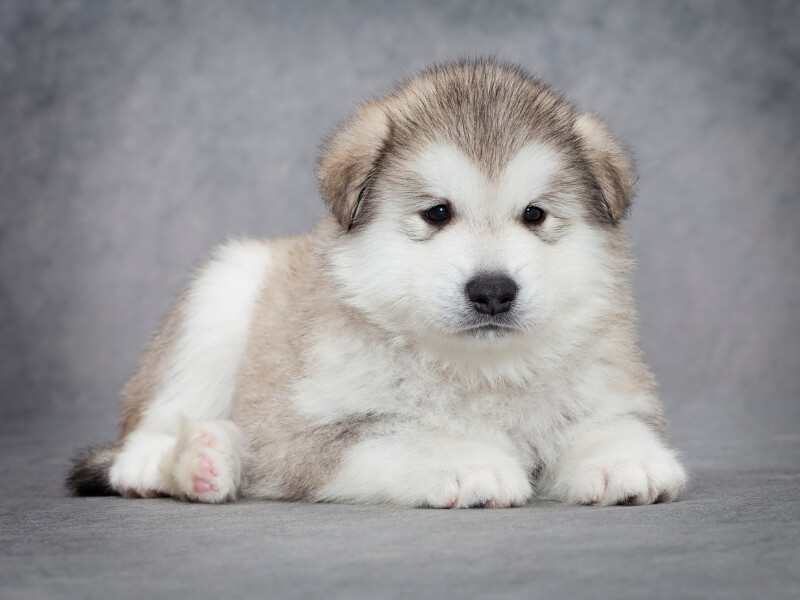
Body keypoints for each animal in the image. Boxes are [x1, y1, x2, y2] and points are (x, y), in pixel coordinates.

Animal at [67, 58, 688, 506]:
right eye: (437, 213)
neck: (479, 371)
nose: (492, 291)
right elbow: (400, 433)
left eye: (534, 215)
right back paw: (190, 461)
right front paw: (468, 461)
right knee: (145, 435)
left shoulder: (608, 386)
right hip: (220, 300)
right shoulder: (313, 431)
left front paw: (623, 459)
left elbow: (609, 423)